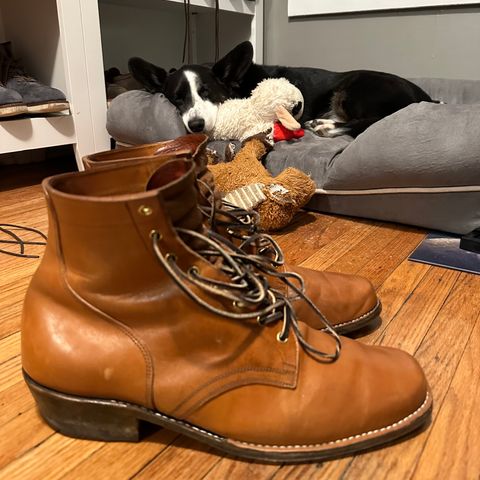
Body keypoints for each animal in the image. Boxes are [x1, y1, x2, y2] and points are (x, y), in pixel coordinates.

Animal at [129, 41, 433, 138]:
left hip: (355, 89)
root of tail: (425, 98)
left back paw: (326, 126)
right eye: (176, 99)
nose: (196, 126)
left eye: (207, 92)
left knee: (370, 121)